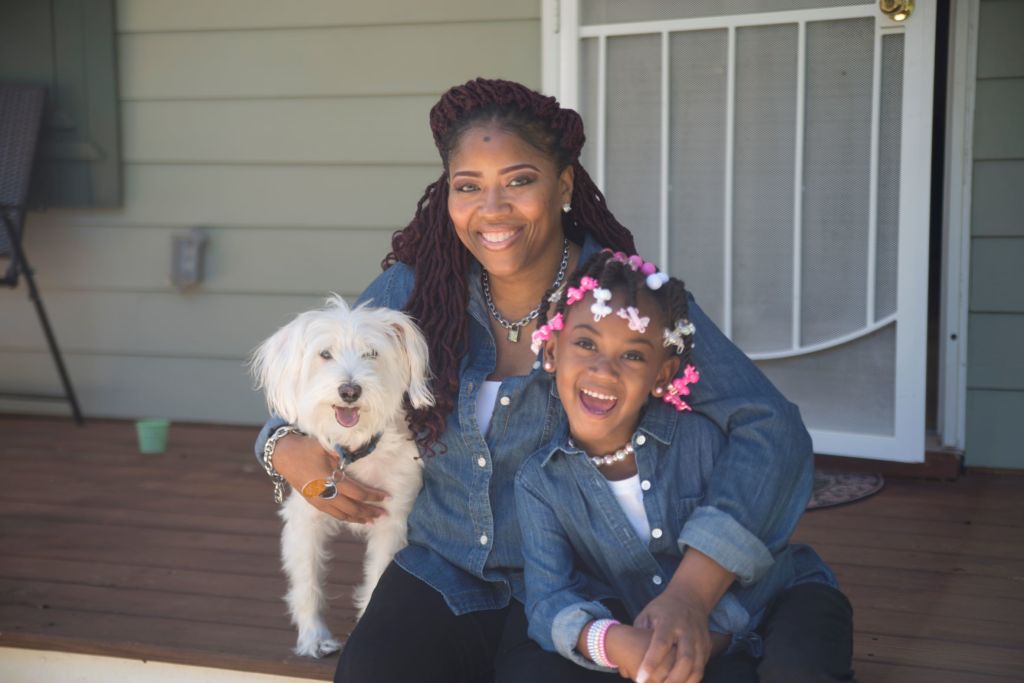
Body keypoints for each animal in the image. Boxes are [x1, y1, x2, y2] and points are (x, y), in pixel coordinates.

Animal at [253, 296, 434, 659]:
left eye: (372, 353)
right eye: (325, 354)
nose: (350, 391)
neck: (353, 449)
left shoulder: (393, 522)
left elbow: (377, 577)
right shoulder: (304, 519)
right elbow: (307, 581)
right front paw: (313, 637)